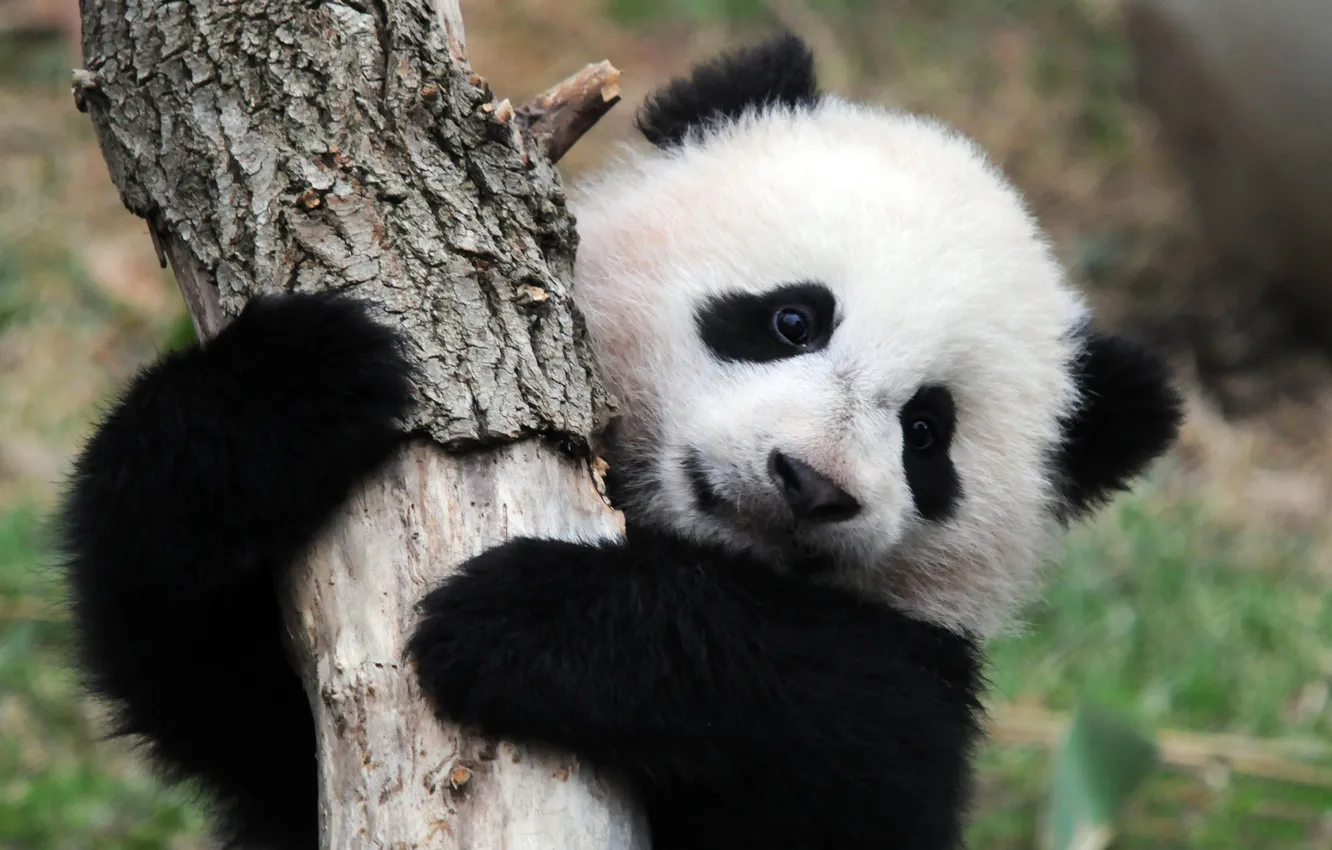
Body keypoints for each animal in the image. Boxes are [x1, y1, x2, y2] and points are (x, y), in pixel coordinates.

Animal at [58, 31, 1181, 850]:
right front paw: (297, 383)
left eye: (927, 433)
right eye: (792, 318)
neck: (681, 536)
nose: (806, 482)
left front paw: (529, 619)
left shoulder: (918, 680)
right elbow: (202, 674)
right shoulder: (264, 721)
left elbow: (841, 730)